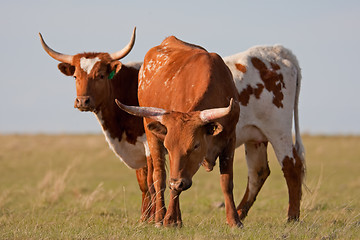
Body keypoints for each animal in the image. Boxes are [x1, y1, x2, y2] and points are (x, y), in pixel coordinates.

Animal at [39, 28, 155, 221]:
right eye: (75, 76)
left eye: (100, 75)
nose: (82, 101)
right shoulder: (137, 150)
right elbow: (143, 183)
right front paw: (144, 219)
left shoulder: (149, 144)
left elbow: (153, 181)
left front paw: (154, 219)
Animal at [222, 45, 306, 221]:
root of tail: (276, 51)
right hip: (255, 136)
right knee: (258, 171)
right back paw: (239, 213)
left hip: (278, 129)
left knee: (292, 165)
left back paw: (292, 217)